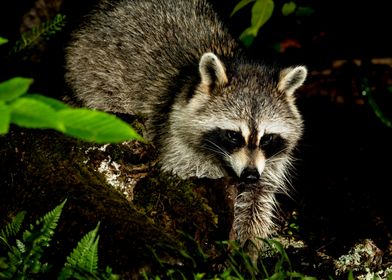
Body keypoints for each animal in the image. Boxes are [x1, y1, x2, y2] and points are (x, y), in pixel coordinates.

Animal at [66, 0, 308, 260]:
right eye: (233, 135)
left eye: (267, 138)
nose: (250, 175)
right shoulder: (177, 141)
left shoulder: (269, 163)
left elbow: (257, 200)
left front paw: (248, 249)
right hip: (92, 77)